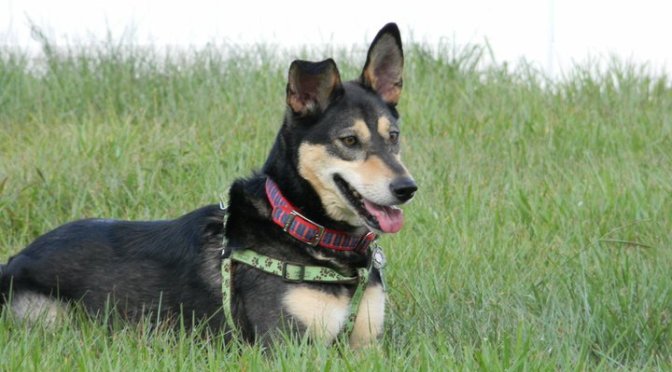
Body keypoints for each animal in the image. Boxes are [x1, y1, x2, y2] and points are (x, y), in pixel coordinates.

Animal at [0, 23, 418, 348]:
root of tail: (13, 260)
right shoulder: (288, 346)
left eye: (394, 136)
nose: (407, 188)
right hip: (51, 316)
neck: (303, 227)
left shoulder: (367, 344)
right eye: (349, 141)